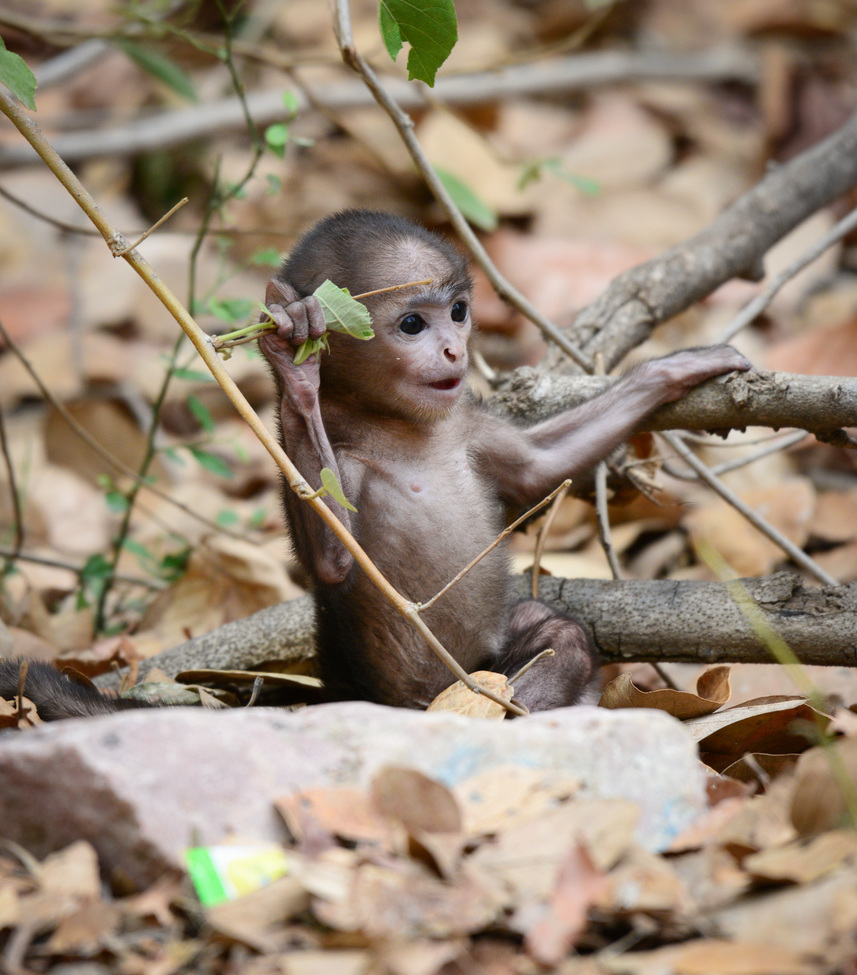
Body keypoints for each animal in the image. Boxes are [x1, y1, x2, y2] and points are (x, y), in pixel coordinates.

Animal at [0, 209, 751, 720]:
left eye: (457, 311)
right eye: (412, 325)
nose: (453, 351)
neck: (399, 432)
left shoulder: (466, 424)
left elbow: (539, 467)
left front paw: (674, 370)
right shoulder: (351, 465)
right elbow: (334, 563)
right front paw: (293, 372)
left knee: (556, 633)